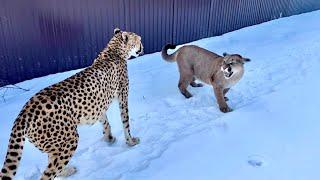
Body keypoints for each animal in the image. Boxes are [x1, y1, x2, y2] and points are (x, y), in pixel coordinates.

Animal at [0, 28, 142, 180]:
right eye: (138, 40)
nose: (142, 47)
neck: (114, 50)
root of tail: (24, 113)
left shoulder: (99, 104)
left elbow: (104, 121)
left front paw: (109, 138)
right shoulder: (122, 96)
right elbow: (125, 122)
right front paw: (131, 141)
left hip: (54, 146)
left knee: (53, 165)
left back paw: (67, 171)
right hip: (69, 140)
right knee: (48, 174)